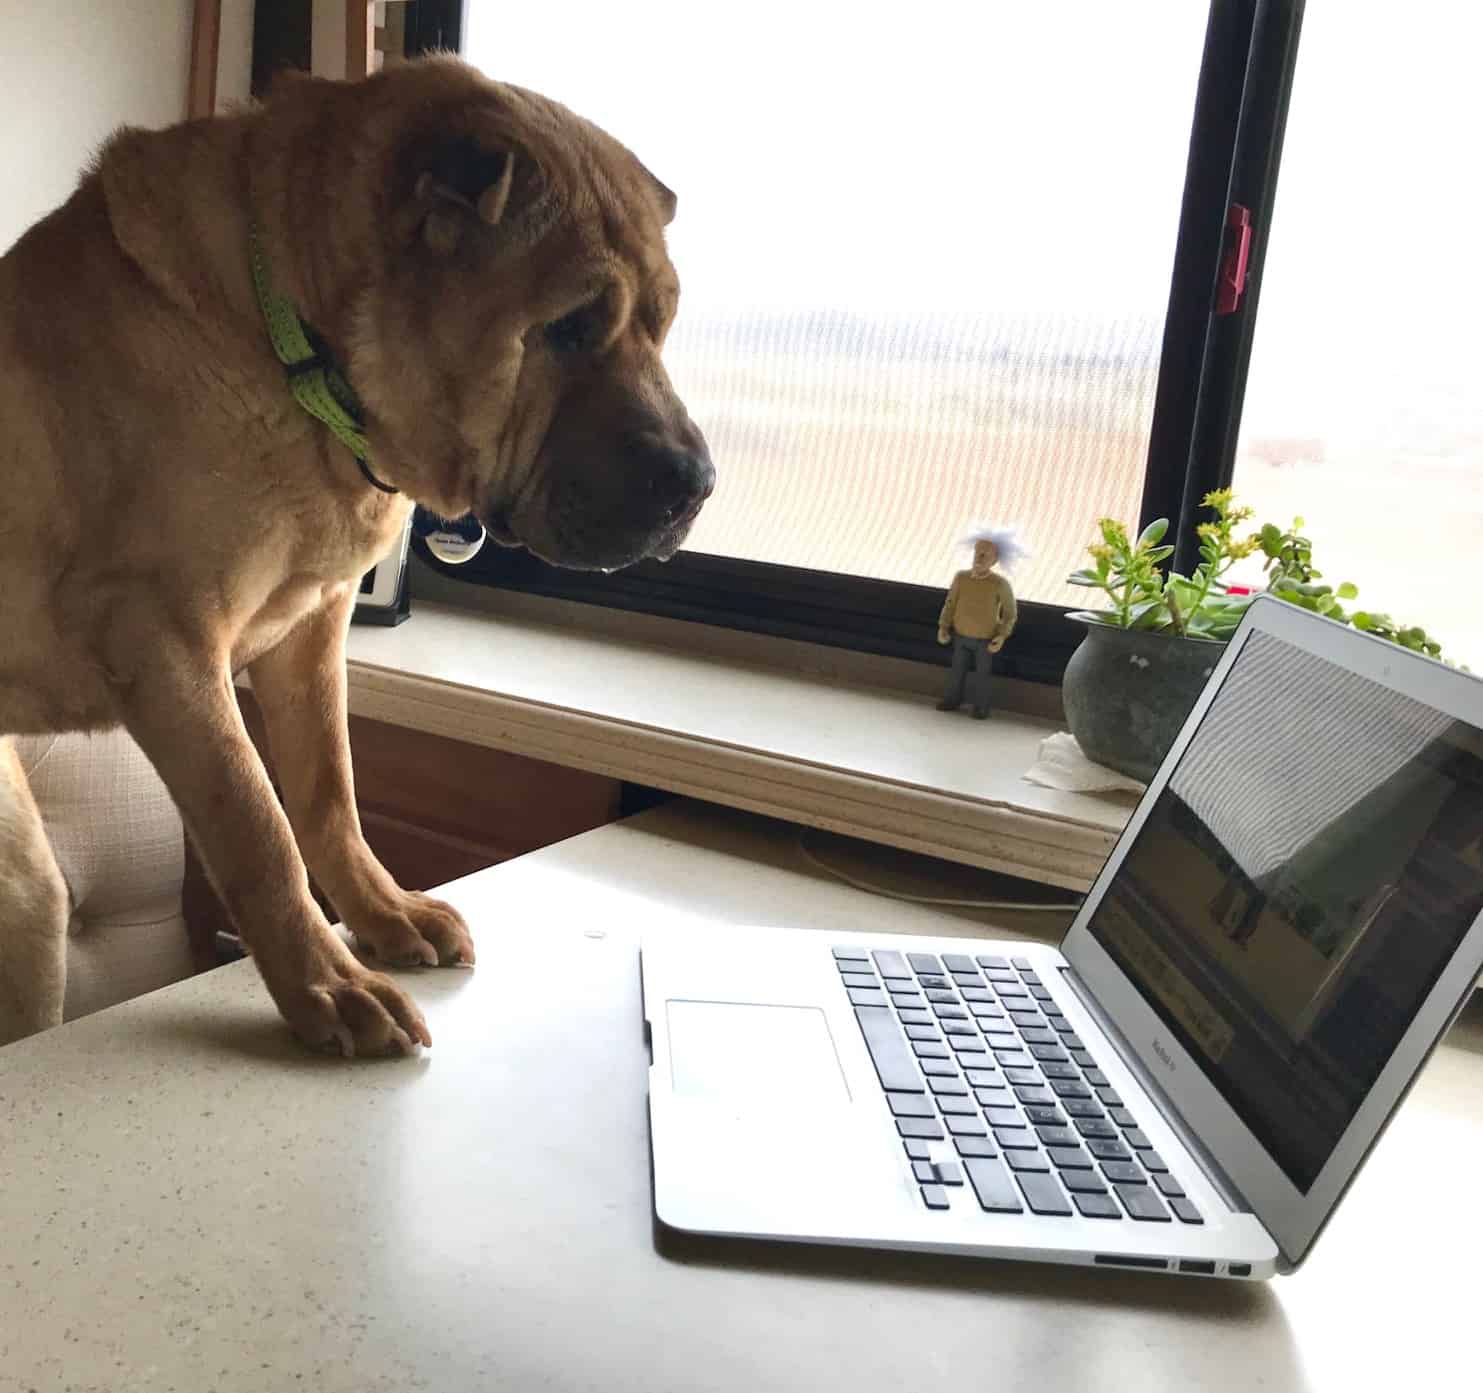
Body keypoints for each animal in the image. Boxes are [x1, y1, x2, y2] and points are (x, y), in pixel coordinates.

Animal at [0, 57, 711, 1056]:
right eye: (569, 326)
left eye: (663, 320)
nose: (699, 483)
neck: (293, 347)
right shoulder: (166, 641)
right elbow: (256, 825)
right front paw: (327, 987)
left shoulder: (311, 634)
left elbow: (328, 793)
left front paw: (385, 917)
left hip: (25, 891)